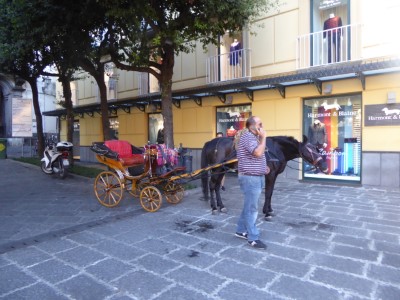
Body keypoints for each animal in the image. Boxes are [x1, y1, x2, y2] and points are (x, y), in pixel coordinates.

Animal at [200, 135, 328, 217]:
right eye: (309, 150)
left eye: (316, 149)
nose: (324, 166)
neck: (276, 149)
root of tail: (210, 142)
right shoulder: (270, 175)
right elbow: (268, 193)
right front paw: (266, 212)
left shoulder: (274, 175)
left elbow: (270, 193)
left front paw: (269, 210)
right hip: (217, 169)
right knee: (212, 185)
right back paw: (214, 207)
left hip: (222, 170)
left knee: (217, 187)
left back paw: (221, 206)